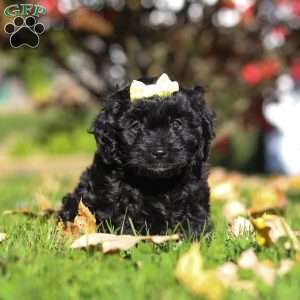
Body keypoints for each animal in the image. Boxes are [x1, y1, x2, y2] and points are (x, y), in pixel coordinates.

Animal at [59, 77, 213, 237]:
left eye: (177, 124)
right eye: (135, 125)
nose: (159, 152)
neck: (159, 182)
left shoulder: (194, 190)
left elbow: (193, 213)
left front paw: (194, 236)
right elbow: (129, 219)